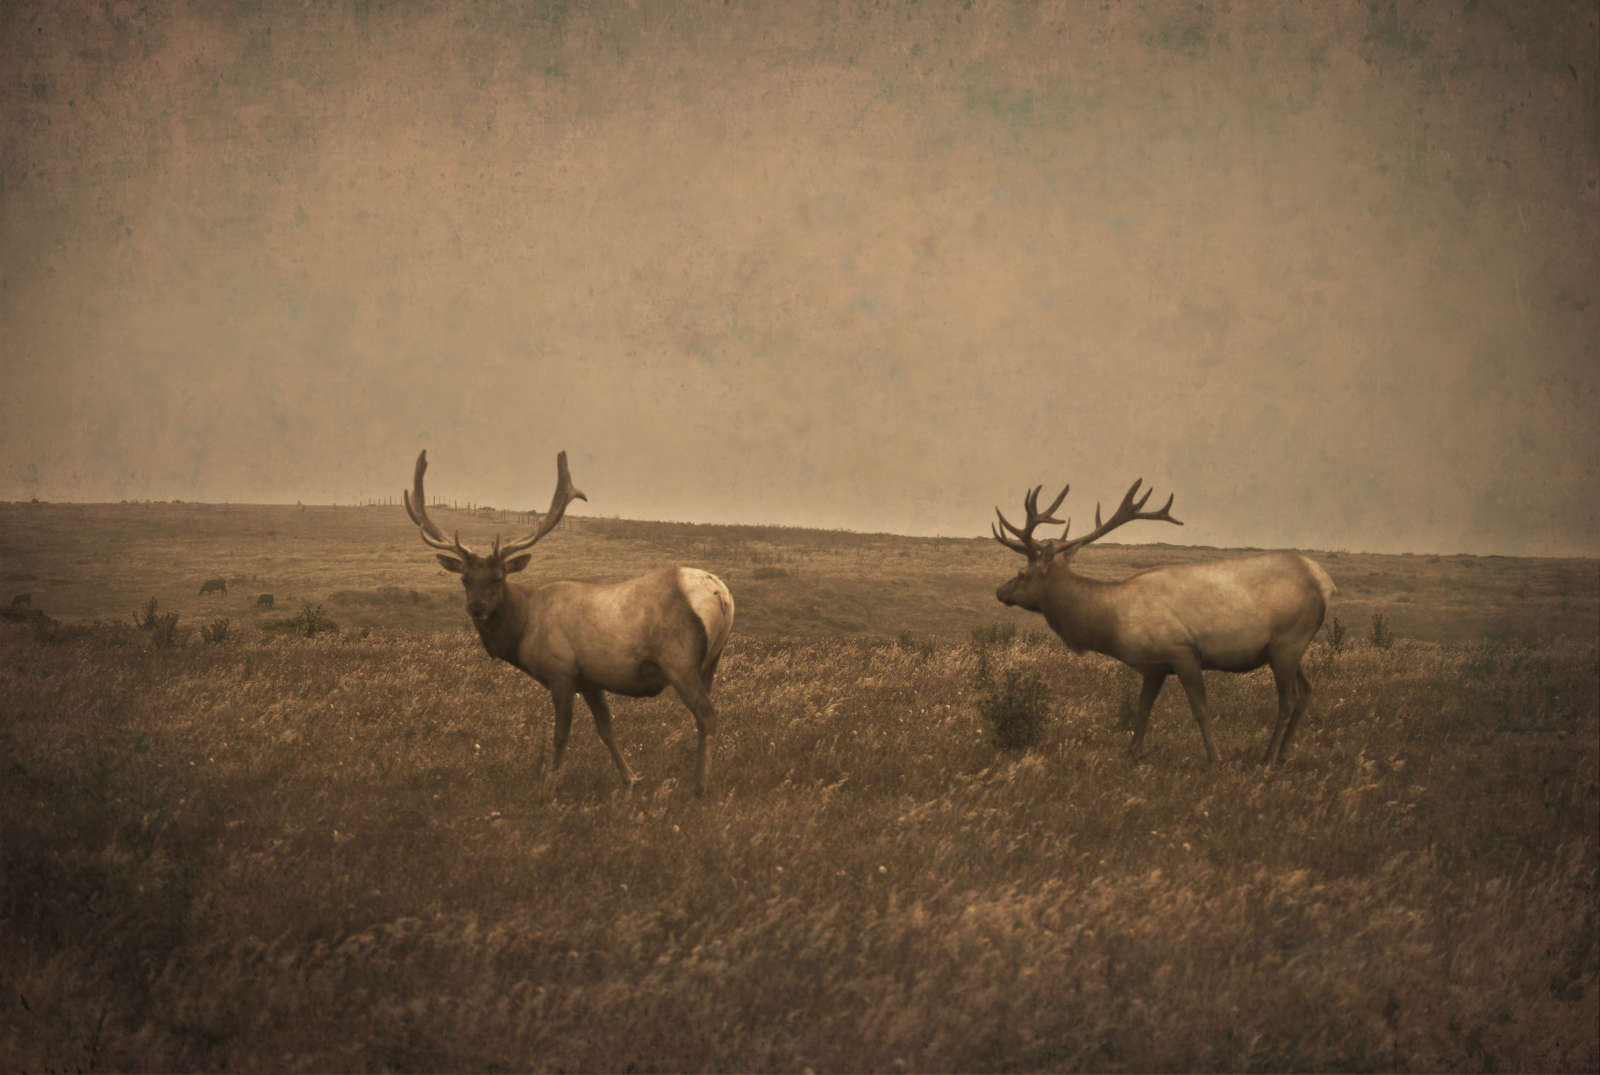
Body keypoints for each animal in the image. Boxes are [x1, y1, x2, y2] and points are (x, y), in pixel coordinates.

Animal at [405, 450, 735, 797]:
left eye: (498, 577)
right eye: (465, 579)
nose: (476, 607)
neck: (524, 628)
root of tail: (721, 594)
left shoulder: (561, 671)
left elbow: (561, 733)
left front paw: (551, 784)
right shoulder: (590, 679)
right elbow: (606, 728)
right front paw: (630, 779)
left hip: (679, 659)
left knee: (708, 716)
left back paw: (700, 788)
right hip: (712, 660)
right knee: (704, 716)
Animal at [992, 478, 1336, 765]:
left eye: (1022, 573)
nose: (1000, 591)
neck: (1113, 624)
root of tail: (1323, 581)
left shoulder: (1182, 650)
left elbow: (1200, 709)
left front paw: (1215, 758)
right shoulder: (1154, 666)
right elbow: (1143, 709)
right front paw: (1131, 754)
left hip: (1287, 643)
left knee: (1288, 699)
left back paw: (1267, 758)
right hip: (1290, 648)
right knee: (1306, 692)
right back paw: (1283, 754)